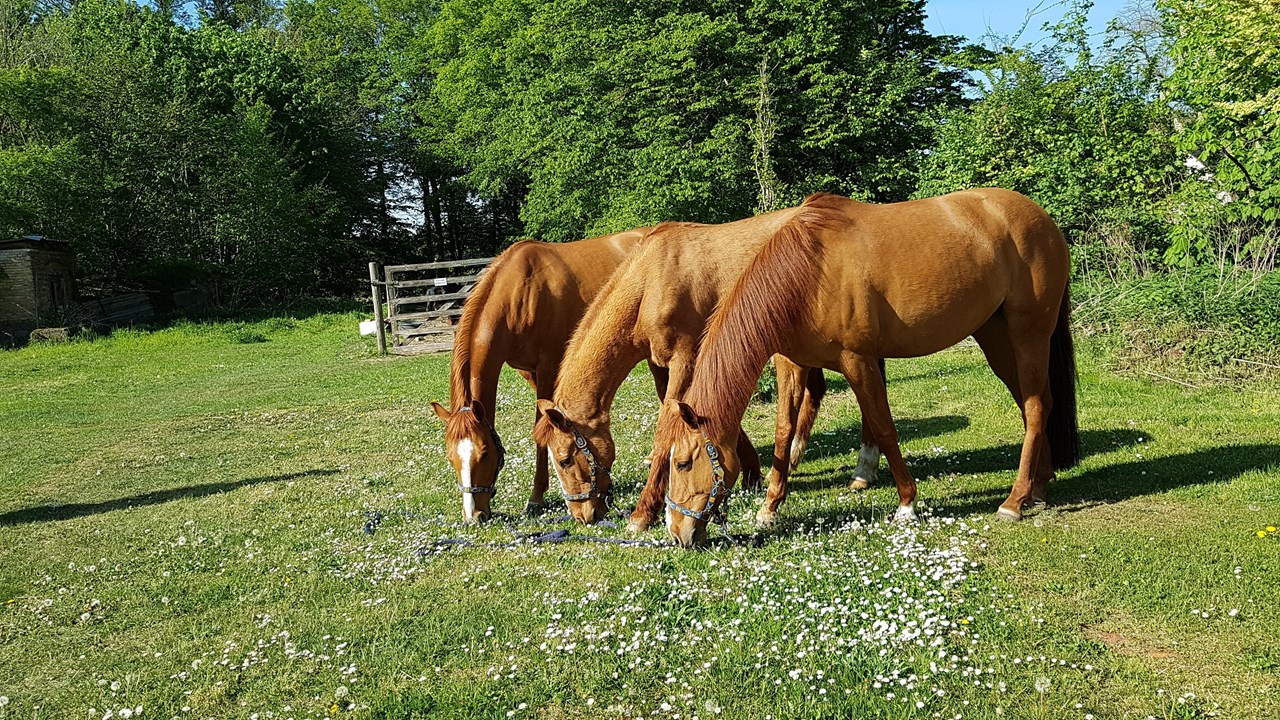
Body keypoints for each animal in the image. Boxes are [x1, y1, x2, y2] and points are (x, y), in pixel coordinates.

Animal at [430, 230, 645, 523]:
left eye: (484, 453)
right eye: (451, 456)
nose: (474, 515)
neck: (520, 291)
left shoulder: (548, 368)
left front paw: (536, 498)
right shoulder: (528, 371)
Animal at [531, 213, 881, 528]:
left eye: (564, 459)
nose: (582, 515)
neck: (651, 280)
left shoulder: (685, 360)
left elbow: (665, 431)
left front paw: (643, 513)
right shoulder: (664, 365)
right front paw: (749, 471)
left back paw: (863, 469)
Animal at [655, 189, 1079, 547]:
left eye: (682, 462)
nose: (677, 532)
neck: (809, 271)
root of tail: (1041, 218)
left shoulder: (858, 360)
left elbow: (884, 427)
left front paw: (907, 503)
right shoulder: (793, 363)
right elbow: (783, 434)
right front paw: (769, 509)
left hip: (1028, 333)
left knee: (1036, 406)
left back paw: (1014, 500)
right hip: (995, 336)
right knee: (1034, 402)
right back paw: (1038, 486)